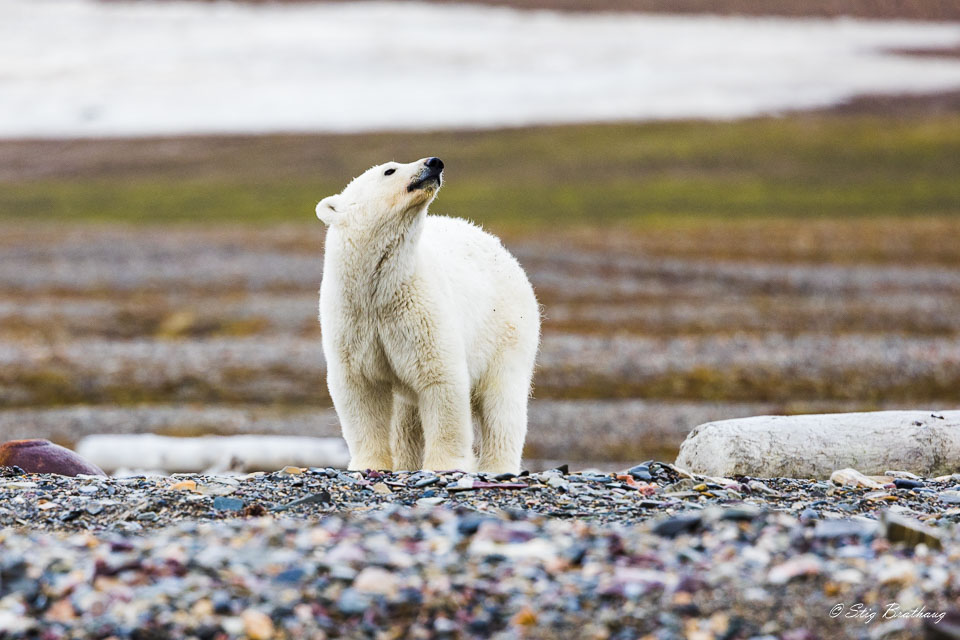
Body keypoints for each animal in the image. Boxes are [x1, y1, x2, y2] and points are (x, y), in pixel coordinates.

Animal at [316, 157, 540, 472]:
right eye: (389, 170)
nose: (434, 163)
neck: (379, 289)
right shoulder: (353, 320)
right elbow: (361, 388)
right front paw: (369, 464)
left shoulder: (420, 312)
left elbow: (439, 378)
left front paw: (445, 464)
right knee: (405, 417)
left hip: (506, 329)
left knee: (502, 402)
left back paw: (497, 467)